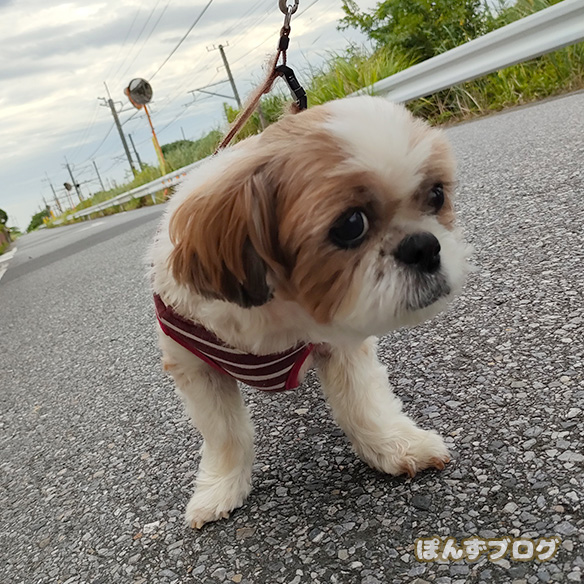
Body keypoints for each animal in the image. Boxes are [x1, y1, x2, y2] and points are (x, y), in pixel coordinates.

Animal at [149, 95, 469, 528]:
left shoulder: (341, 345)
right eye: (351, 224)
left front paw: (396, 445)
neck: (283, 311)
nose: (424, 246)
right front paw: (219, 490)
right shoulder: (196, 367)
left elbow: (361, 404)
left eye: (436, 195)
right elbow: (225, 435)